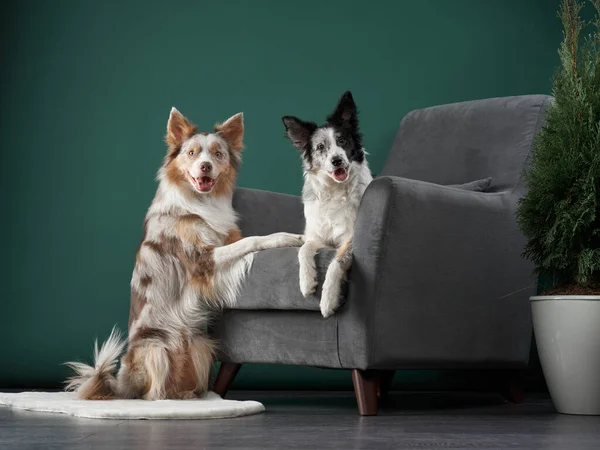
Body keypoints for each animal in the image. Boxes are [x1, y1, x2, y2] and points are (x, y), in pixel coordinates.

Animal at [65, 109, 304, 400]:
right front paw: (288, 238)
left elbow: (245, 238)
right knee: (150, 393)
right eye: (192, 153)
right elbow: (254, 240)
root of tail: (122, 383)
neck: (201, 202)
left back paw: (191, 396)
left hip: (202, 344)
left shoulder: (226, 238)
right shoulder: (201, 260)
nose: (205, 166)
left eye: (218, 154)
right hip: (155, 348)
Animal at [284, 90, 372, 316]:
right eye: (320, 147)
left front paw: (328, 300)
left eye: (342, 140)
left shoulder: (349, 238)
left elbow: (335, 264)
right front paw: (307, 281)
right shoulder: (318, 236)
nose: (337, 160)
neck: (335, 191)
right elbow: (304, 249)